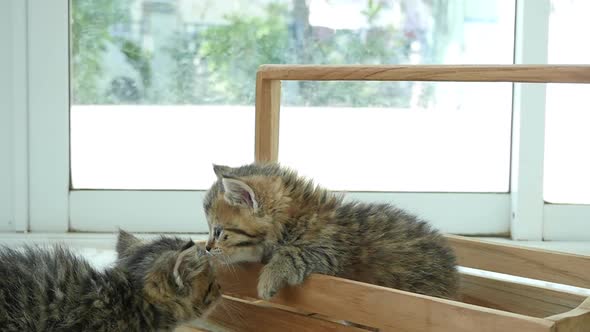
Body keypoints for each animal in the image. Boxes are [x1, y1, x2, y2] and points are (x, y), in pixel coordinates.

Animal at [206, 163, 460, 298]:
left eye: (217, 231)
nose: (207, 248)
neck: (299, 221)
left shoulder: (330, 252)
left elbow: (293, 252)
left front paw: (269, 279)